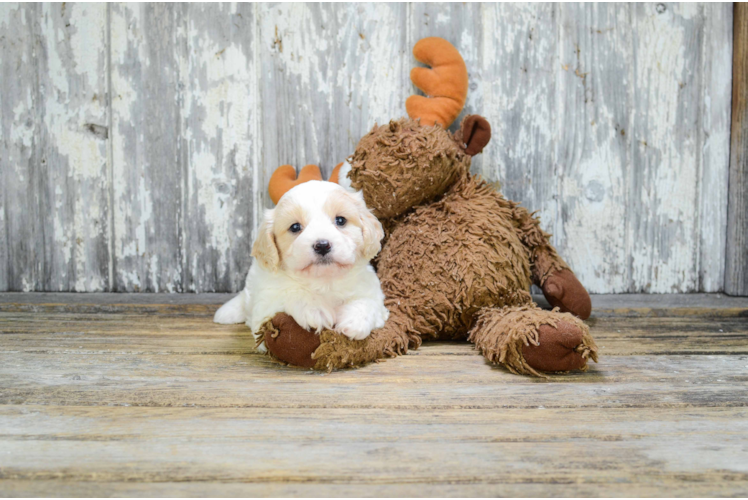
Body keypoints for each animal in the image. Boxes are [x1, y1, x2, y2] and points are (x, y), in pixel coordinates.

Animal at [213, 181, 388, 352]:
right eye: (295, 227)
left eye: (340, 220)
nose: (322, 245)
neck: (324, 281)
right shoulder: (264, 306)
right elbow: (290, 292)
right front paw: (314, 309)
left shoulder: (372, 293)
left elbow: (368, 302)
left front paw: (355, 322)